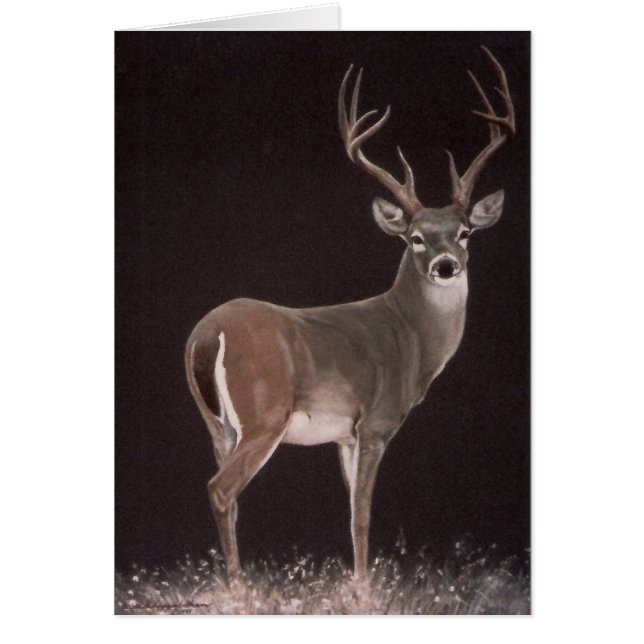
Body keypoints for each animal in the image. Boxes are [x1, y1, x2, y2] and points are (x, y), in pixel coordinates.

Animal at [185, 46, 516, 583]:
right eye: (415, 237)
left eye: (465, 232)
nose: (447, 265)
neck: (411, 339)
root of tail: (206, 335)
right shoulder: (376, 422)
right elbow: (362, 514)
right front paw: (363, 587)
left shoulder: (344, 435)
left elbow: (349, 508)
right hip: (264, 415)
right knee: (220, 488)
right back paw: (239, 587)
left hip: (218, 424)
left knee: (226, 492)